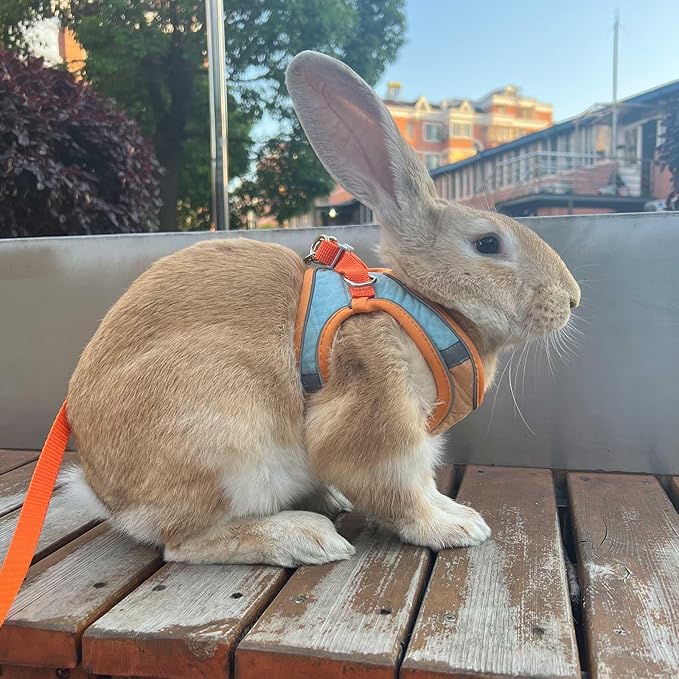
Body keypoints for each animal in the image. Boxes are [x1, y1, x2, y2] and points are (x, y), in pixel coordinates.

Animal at [65, 51, 580, 567]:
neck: (427, 306)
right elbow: (401, 491)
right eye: (488, 243)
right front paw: (451, 528)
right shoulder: (380, 413)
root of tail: (106, 495)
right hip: (225, 440)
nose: (572, 297)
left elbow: (426, 484)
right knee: (183, 542)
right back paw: (305, 536)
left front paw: (456, 511)